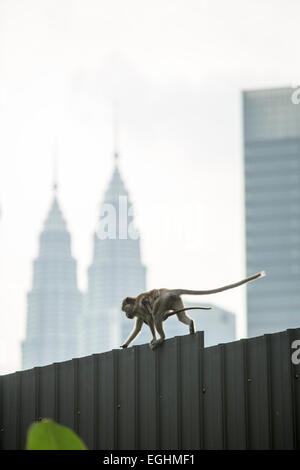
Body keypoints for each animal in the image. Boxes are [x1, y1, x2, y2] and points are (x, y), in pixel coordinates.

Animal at [119, 270, 264, 350]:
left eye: (124, 309)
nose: (126, 315)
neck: (135, 304)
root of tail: (169, 291)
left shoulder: (139, 308)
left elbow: (149, 318)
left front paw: (154, 338)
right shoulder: (138, 313)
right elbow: (138, 328)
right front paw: (125, 345)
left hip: (163, 301)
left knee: (156, 316)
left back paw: (161, 338)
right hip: (175, 300)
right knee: (180, 317)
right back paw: (191, 324)